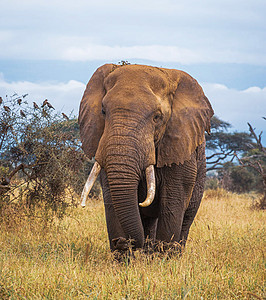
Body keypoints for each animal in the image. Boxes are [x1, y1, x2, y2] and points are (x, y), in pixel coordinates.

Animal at [79, 62, 214, 253]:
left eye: (157, 117)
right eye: (103, 111)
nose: (122, 241)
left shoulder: (179, 146)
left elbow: (173, 203)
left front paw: (164, 257)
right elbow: (113, 200)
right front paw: (123, 255)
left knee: (186, 219)